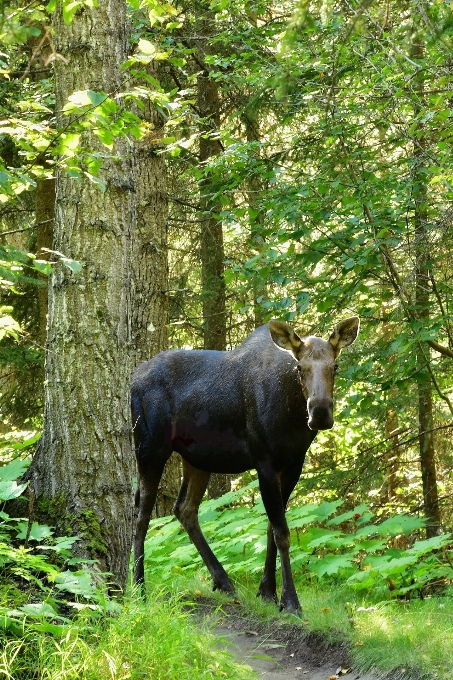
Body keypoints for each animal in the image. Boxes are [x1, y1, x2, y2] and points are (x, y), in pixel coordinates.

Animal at [132, 316, 358, 612]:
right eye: (300, 367)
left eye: (336, 366)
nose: (320, 413)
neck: (292, 416)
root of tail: (133, 379)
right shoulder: (264, 462)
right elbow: (282, 532)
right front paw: (290, 601)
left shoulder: (293, 464)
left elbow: (272, 529)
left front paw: (268, 592)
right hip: (149, 448)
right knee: (142, 515)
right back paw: (138, 588)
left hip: (197, 458)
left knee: (184, 509)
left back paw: (223, 581)